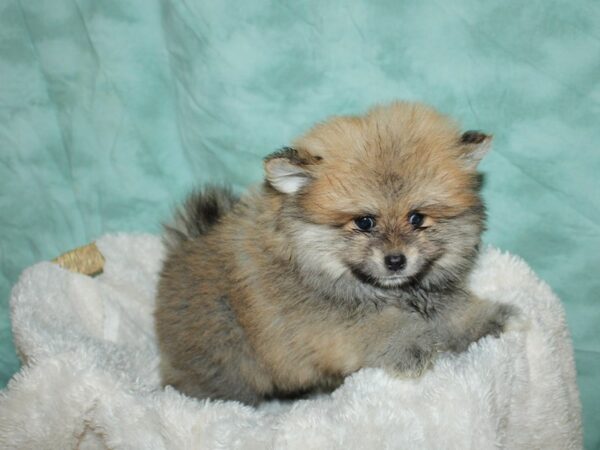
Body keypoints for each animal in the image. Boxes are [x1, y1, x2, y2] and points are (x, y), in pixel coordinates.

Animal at [155, 101, 516, 404]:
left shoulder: (433, 292)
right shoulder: (330, 322)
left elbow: (454, 311)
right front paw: (412, 345)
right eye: (364, 222)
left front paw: (488, 318)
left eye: (417, 218)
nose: (396, 260)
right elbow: (381, 325)